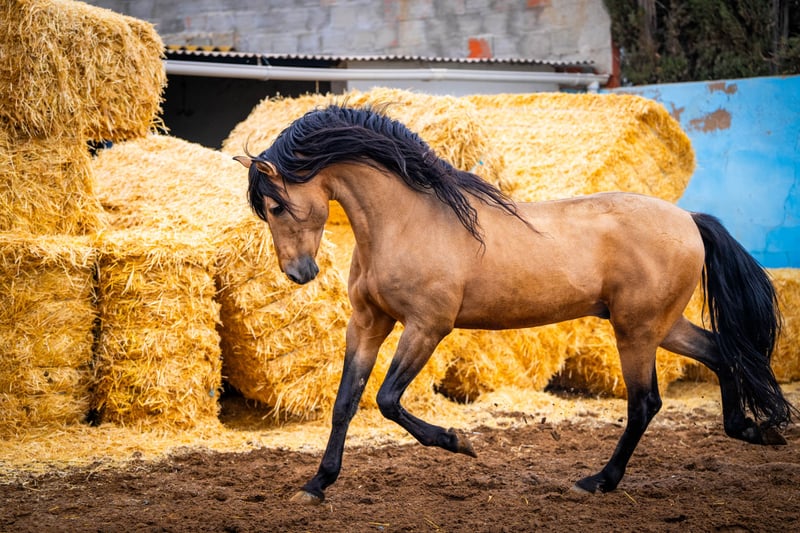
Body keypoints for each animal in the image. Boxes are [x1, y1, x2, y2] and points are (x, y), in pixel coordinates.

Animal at [234, 104, 794, 504]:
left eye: (276, 204)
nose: (299, 273)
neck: (406, 220)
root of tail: (689, 219)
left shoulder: (426, 326)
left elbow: (388, 399)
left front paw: (459, 442)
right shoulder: (369, 323)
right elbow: (346, 403)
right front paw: (316, 485)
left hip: (636, 330)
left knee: (645, 403)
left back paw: (597, 481)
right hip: (662, 324)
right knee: (722, 353)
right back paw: (751, 431)